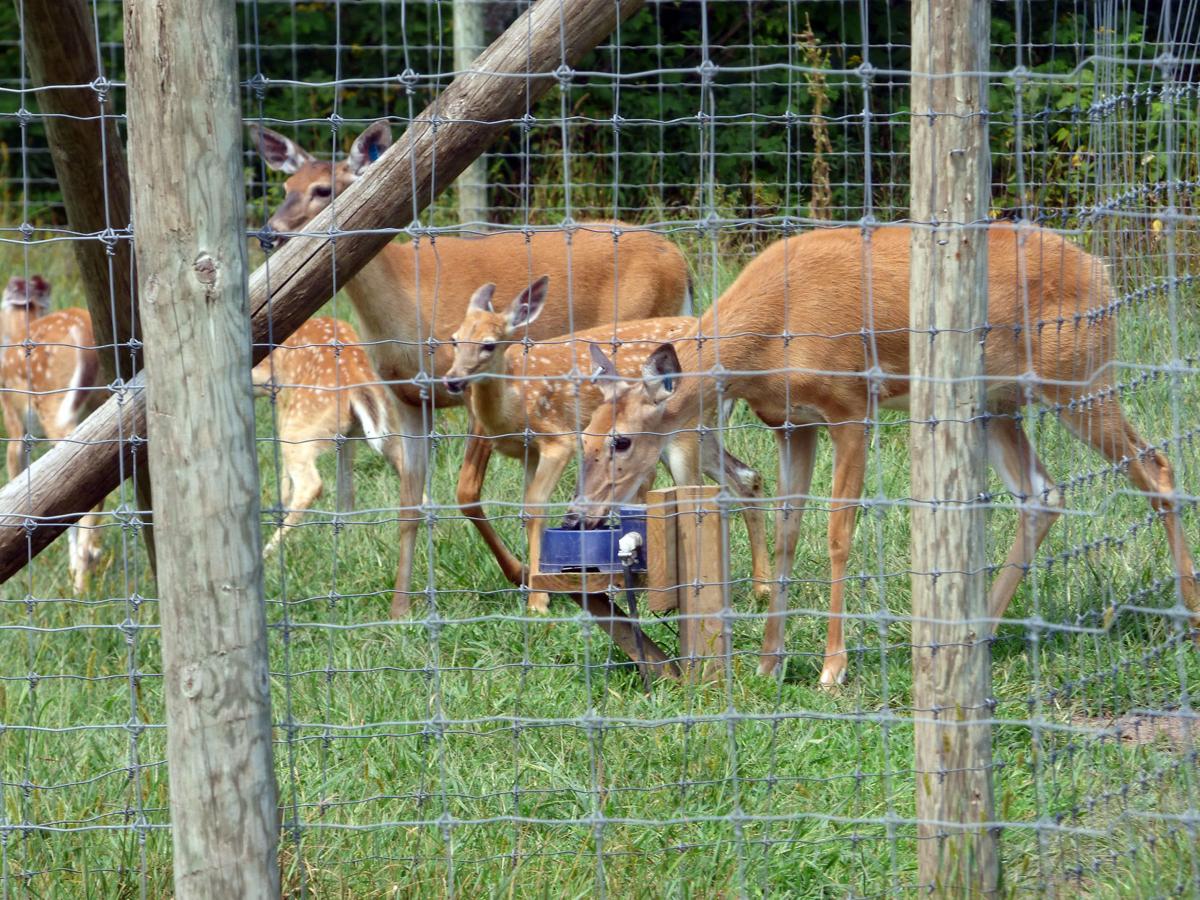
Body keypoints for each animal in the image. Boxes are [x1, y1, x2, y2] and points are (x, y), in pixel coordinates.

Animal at [252, 317, 417, 577]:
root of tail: (357, 381)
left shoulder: (281, 399)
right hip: (385, 429)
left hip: (299, 428)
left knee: (311, 484)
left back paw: (269, 552)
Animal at [442, 276, 771, 613]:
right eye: (454, 340)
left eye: (488, 344)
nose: (452, 380)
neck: (511, 406)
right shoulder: (529, 453)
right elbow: (518, 506)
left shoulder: (557, 439)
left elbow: (534, 506)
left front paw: (537, 599)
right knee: (744, 477)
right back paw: (761, 587)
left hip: (685, 433)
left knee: (693, 494)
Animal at [564, 223, 1199, 687]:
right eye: (586, 436)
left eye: (622, 440)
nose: (577, 515)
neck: (769, 337)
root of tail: (1103, 273)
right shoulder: (791, 423)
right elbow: (789, 532)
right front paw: (770, 662)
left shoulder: (850, 406)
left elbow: (838, 533)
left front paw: (831, 668)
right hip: (998, 402)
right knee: (1044, 494)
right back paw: (974, 634)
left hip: (1081, 375)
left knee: (1159, 470)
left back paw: (1188, 617)